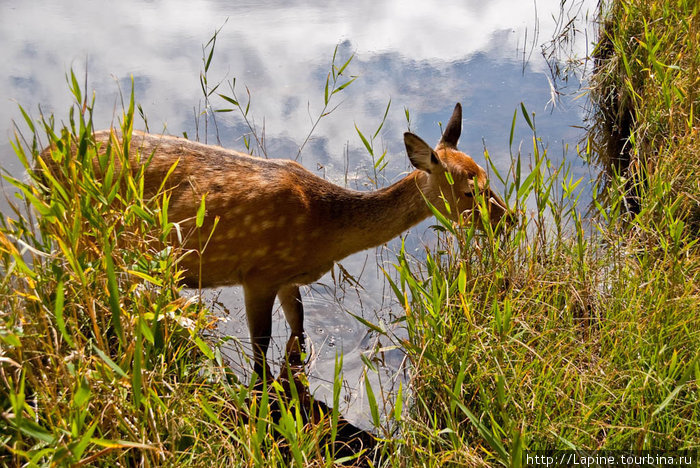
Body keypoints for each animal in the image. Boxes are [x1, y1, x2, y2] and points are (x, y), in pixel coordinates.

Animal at [39, 101, 508, 376]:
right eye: (470, 190)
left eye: (487, 175)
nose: (509, 220)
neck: (324, 229)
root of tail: (42, 159)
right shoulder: (258, 273)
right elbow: (261, 347)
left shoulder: (288, 278)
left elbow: (298, 331)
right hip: (79, 234)